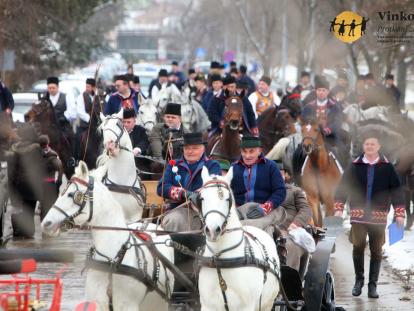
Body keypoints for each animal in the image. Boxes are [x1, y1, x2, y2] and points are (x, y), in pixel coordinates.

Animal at [198, 168, 282, 311]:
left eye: (227, 199)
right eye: (202, 198)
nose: (212, 230)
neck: (221, 260)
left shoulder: (246, 306)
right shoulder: (208, 306)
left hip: (267, 303)